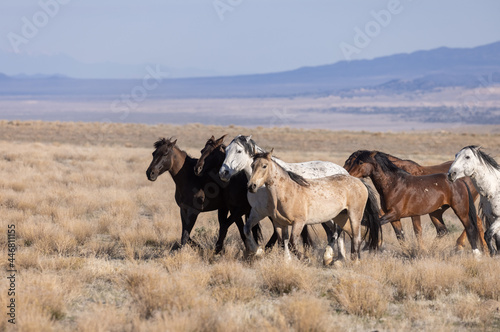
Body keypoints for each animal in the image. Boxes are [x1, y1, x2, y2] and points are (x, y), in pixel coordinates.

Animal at [220, 134, 352, 262]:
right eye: (225, 150)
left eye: (239, 151)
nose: (223, 173)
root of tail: (344, 171)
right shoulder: (258, 212)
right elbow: (247, 230)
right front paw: (259, 252)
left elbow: (283, 239)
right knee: (334, 232)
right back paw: (337, 258)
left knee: (337, 231)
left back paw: (333, 257)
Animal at [344, 150, 480, 256]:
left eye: (360, 162)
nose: (347, 175)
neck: (394, 184)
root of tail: (460, 180)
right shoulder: (394, 218)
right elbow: (400, 236)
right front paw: (407, 252)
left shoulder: (395, 214)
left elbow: (372, 224)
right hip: (436, 212)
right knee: (443, 231)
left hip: (461, 209)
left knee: (470, 228)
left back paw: (474, 253)